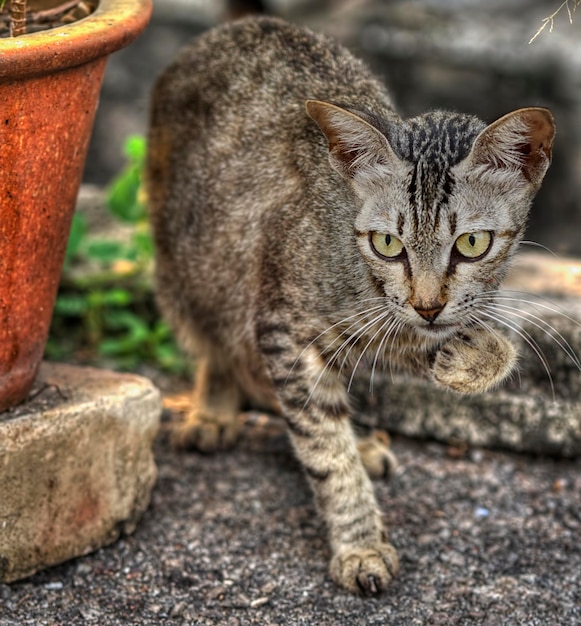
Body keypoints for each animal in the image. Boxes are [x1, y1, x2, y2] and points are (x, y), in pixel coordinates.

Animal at [145, 15, 552, 596]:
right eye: (387, 243)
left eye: (472, 244)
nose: (429, 305)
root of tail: (238, 25)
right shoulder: (284, 327)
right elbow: (324, 449)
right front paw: (358, 543)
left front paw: (472, 358)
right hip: (191, 267)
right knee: (219, 342)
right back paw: (216, 407)